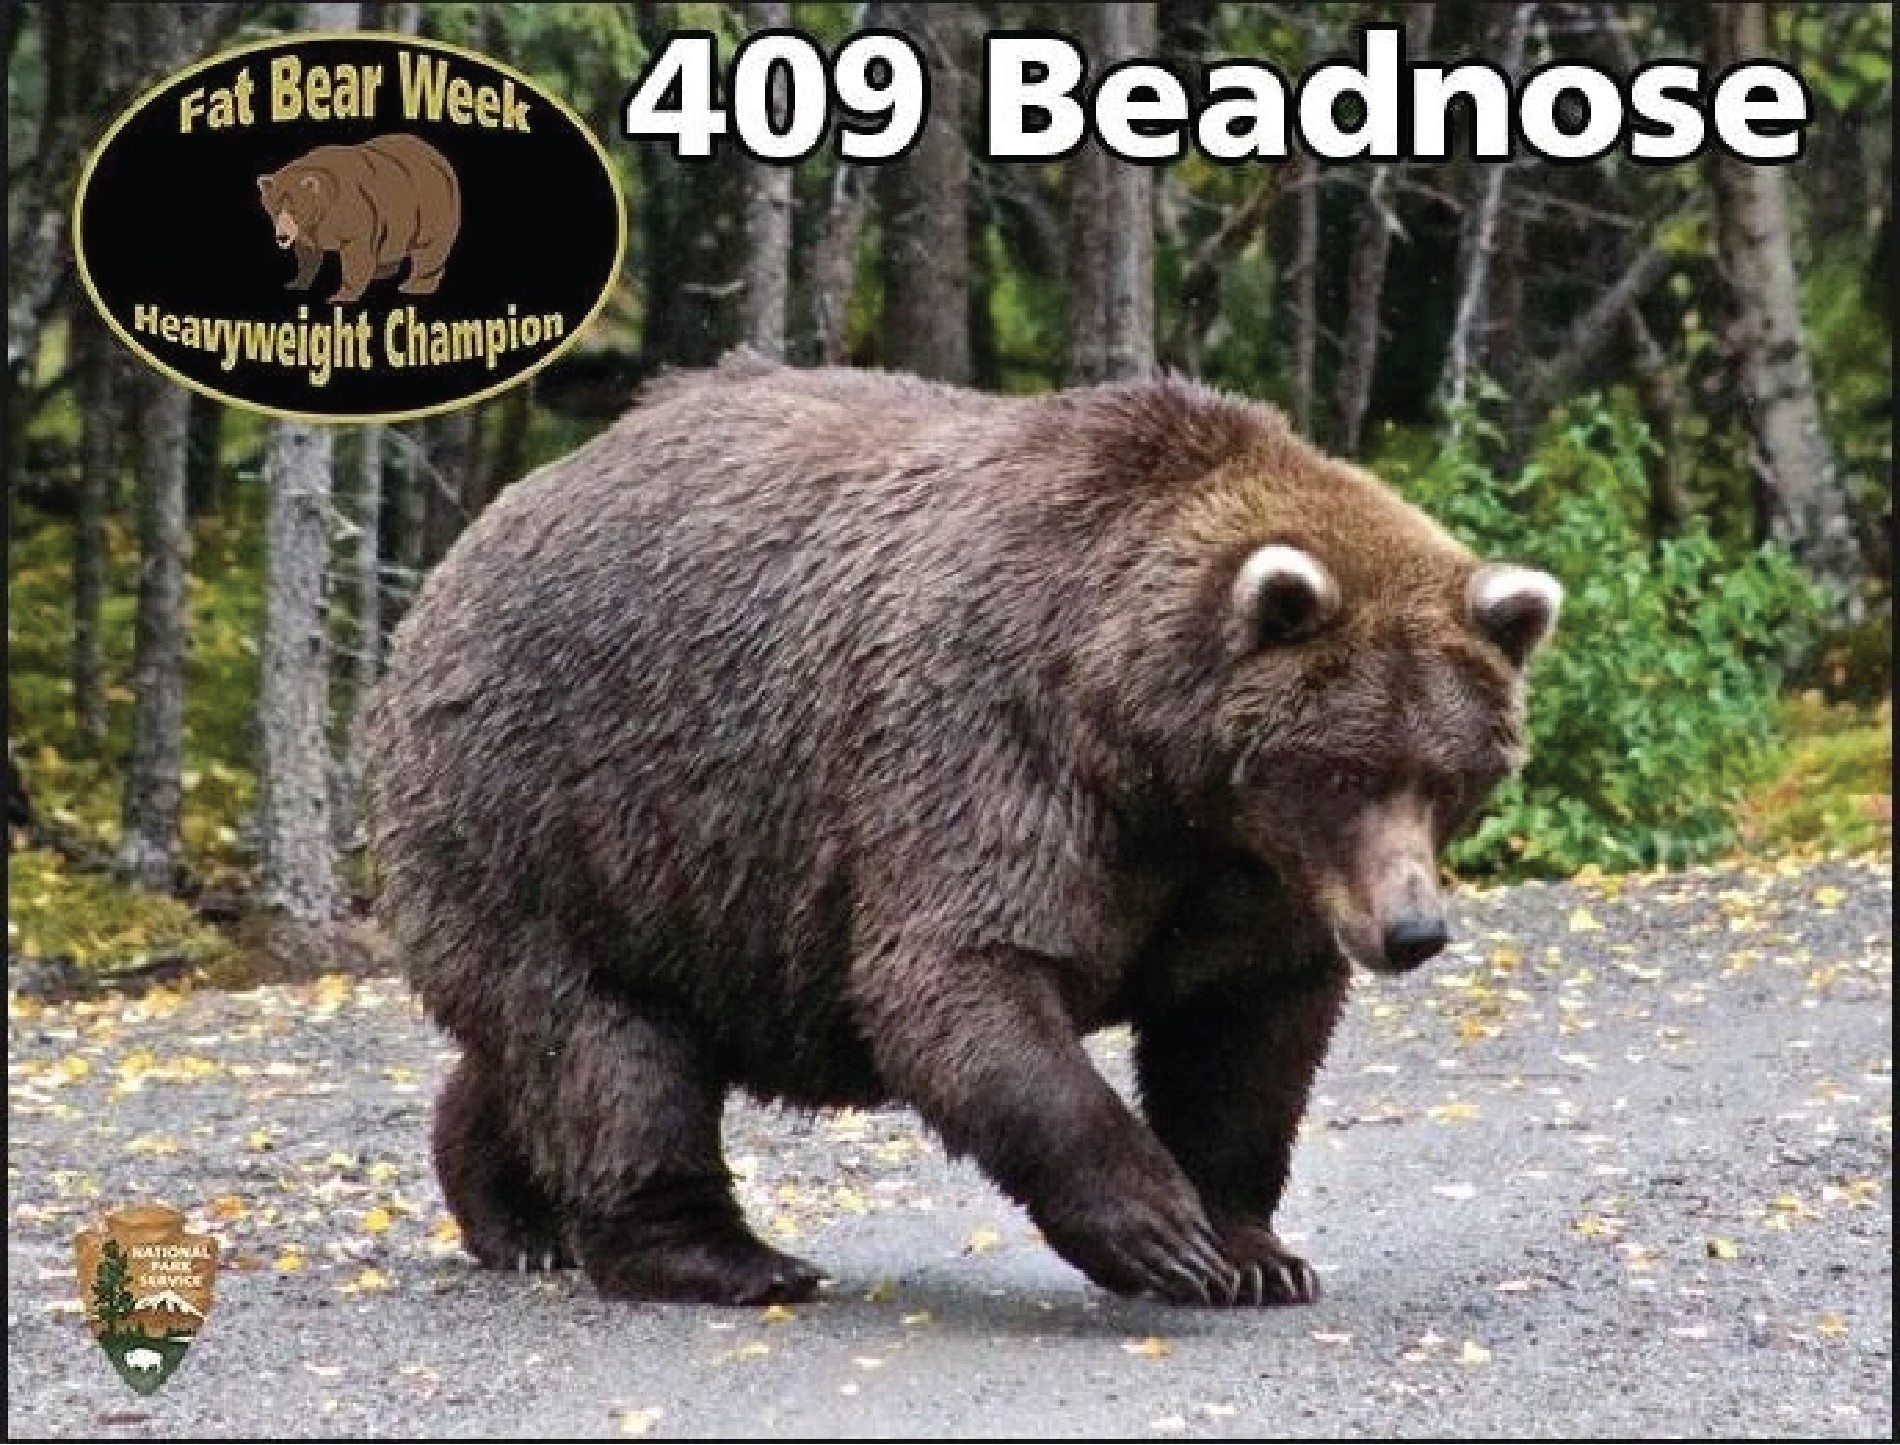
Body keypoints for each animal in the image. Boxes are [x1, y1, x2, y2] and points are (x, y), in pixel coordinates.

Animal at [256, 133, 460, 305]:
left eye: (296, 208)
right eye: (274, 208)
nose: (282, 237)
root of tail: (438, 156)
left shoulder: (354, 209)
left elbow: (356, 250)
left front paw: (339, 296)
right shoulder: (308, 229)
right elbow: (307, 253)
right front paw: (296, 282)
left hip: (427, 205)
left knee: (429, 246)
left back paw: (414, 286)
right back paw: (381, 272)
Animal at [364, 355, 1562, 1308]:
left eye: (1449, 777)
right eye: (1347, 769)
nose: (1411, 930)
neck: (1153, 753)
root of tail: (469, 545)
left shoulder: (1245, 874)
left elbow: (1243, 1033)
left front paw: (1254, 1250)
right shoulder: (996, 744)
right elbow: (958, 972)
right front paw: (1160, 1231)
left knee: (554, 1043)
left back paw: (514, 1214)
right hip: (553, 799)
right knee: (606, 1044)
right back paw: (729, 1258)